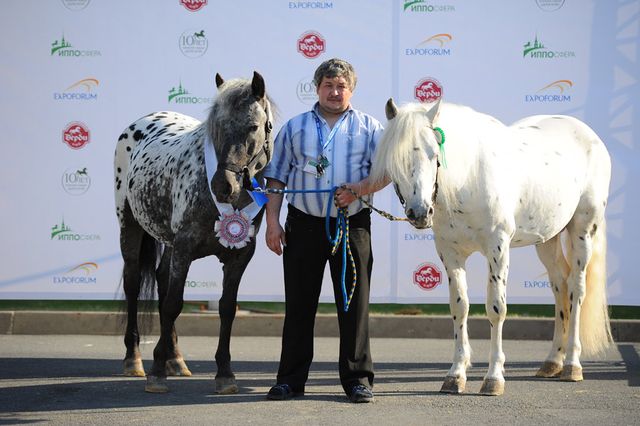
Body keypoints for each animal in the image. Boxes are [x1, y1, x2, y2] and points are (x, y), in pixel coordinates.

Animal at [114, 71, 274, 394]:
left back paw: (175, 359)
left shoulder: (239, 257)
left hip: (169, 243)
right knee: (134, 284)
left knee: (161, 280)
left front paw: (225, 374)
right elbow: (173, 305)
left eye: (253, 126)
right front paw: (156, 373)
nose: (223, 185)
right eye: (216, 127)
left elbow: (226, 308)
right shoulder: (185, 248)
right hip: (130, 227)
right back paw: (134, 360)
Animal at [372, 98, 612, 394]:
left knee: (577, 291)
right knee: (560, 287)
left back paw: (571, 365)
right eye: (395, 161)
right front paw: (456, 374)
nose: (419, 213)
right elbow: (459, 307)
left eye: (434, 155)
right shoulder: (450, 254)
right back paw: (552, 362)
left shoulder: (498, 248)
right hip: (548, 240)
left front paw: (494, 378)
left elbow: (496, 308)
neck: (468, 180)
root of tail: (589, 134)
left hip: (582, 231)